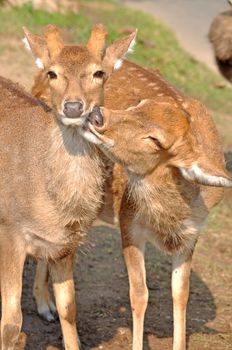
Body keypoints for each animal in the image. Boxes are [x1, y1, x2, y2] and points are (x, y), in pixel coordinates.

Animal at [0, 24, 137, 350]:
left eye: (99, 72)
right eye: (52, 73)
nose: (73, 106)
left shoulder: (67, 245)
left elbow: (69, 307)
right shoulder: (9, 230)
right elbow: (11, 324)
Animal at [81, 94, 232, 348]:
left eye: (156, 140)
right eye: (139, 104)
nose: (97, 115)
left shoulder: (191, 236)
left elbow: (181, 292)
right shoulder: (128, 221)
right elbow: (140, 293)